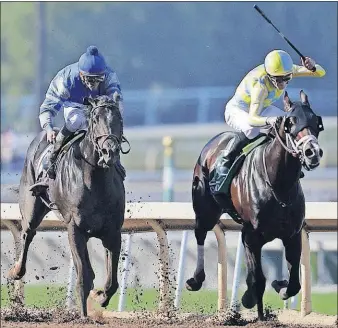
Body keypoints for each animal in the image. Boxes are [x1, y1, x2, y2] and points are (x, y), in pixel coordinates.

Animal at [9, 95, 129, 318]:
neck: (95, 181)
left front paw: (100, 297)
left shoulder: (112, 231)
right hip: (31, 207)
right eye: (95, 119)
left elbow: (112, 281)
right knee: (27, 233)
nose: (109, 151)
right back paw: (16, 270)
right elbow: (84, 276)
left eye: (119, 118)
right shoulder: (75, 228)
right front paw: (83, 314)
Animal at [186, 91, 324, 320]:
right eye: (291, 122)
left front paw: (280, 286)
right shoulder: (251, 235)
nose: (312, 152)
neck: (278, 185)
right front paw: (253, 306)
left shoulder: (292, 234)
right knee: (200, 233)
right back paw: (195, 279)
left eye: (316, 122)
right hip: (205, 210)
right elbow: (258, 280)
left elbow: (294, 283)